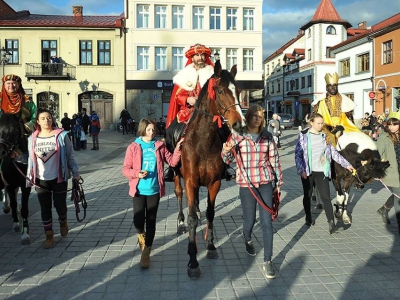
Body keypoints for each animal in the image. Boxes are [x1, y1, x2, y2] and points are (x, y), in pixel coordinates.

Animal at [172, 59, 244, 278]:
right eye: (220, 90)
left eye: (238, 90)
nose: (240, 124)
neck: (203, 141)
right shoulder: (190, 182)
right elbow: (192, 218)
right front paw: (193, 260)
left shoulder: (214, 183)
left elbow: (210, 213)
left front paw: (211, 246)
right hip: (177, 177)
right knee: (179, 195)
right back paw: (180, 222)